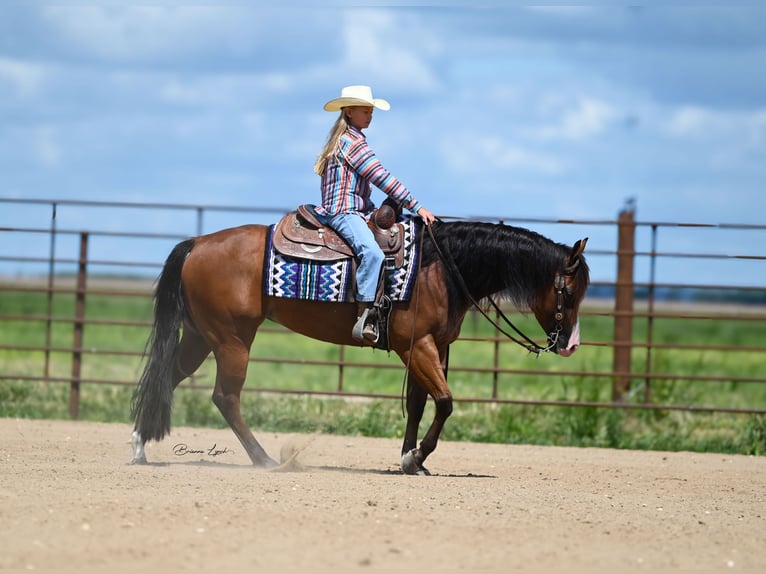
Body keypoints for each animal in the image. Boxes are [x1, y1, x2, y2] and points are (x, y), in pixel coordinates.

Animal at [132, 218, 592, 474]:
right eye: (569, 291)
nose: (571, 346)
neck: (441, 268)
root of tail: (197, 244)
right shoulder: (417, 347)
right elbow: (444, 403)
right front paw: (415, 458)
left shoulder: (433, 346)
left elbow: (420, 403)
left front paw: (411, 460)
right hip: (232, 340)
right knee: (226, 397)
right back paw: (265, 461)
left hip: (200, 336)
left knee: (167, 379)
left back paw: (139, 446)